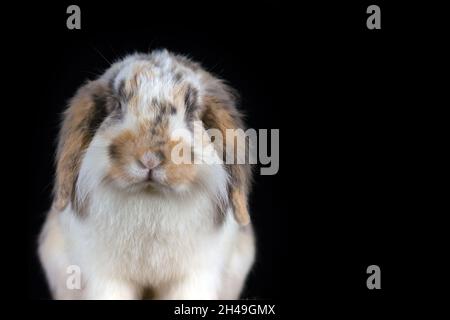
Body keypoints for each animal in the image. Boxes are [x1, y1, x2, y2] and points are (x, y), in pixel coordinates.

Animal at [37, 50, 256, 300]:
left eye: (191, 109)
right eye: (117, 105)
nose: (149, 158)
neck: (150, 197)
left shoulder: (194, 276)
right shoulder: (106, 276)